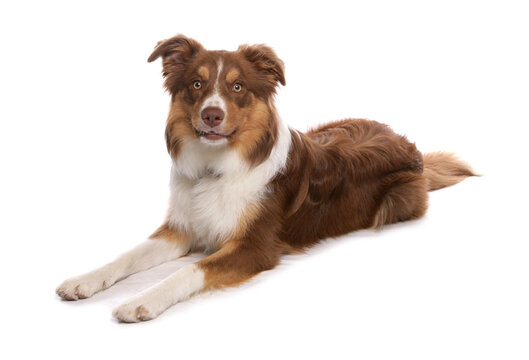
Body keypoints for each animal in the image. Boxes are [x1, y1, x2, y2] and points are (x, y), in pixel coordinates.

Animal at [56, 33, 474, 322]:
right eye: (196, 84)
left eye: (237, 87)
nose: (211, 115)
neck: (215, 168)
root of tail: (409, 145)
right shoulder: (182, 228)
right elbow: (126, 256)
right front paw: (85, 280)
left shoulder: (256, 246)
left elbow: (191, 269)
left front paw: (142, 299)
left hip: (397, 199)